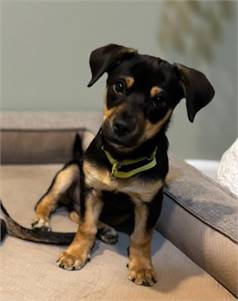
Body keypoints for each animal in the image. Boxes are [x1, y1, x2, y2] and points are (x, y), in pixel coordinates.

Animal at [0, 44, 215, 286]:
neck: (121, 159)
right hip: (70, 172)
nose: (121, 126)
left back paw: (106, 230)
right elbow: (86, 226)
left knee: (75, 212)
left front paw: (142, 266)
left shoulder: (149, 202)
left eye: (159, 100)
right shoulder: (92, 190)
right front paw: (75, 253)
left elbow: (142, 236)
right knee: (49, 201)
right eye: (119, 86)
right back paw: (44, 220)